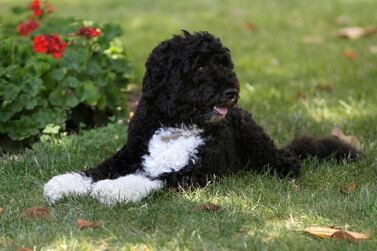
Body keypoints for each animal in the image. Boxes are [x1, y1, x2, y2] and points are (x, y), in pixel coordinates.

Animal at [44, 30, 358, 205]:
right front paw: (65, 183)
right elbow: (95, 170)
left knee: (288, 161)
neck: (175, 123)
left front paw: (114, 190)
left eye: (225, 63)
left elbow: (150, 178)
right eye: (200, 67)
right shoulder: (129, 153)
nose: (232, 92)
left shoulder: (193, 172)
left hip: (262, 148)